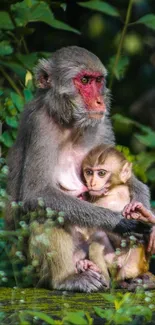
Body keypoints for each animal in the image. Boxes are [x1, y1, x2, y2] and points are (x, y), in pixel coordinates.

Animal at [77, 144, 151, 286]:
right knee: (98, 237)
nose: (92, 183)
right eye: (89, 172)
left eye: (101, 173)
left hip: (134, 264)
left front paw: (143, 214)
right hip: (112, 264)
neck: (111, 192)